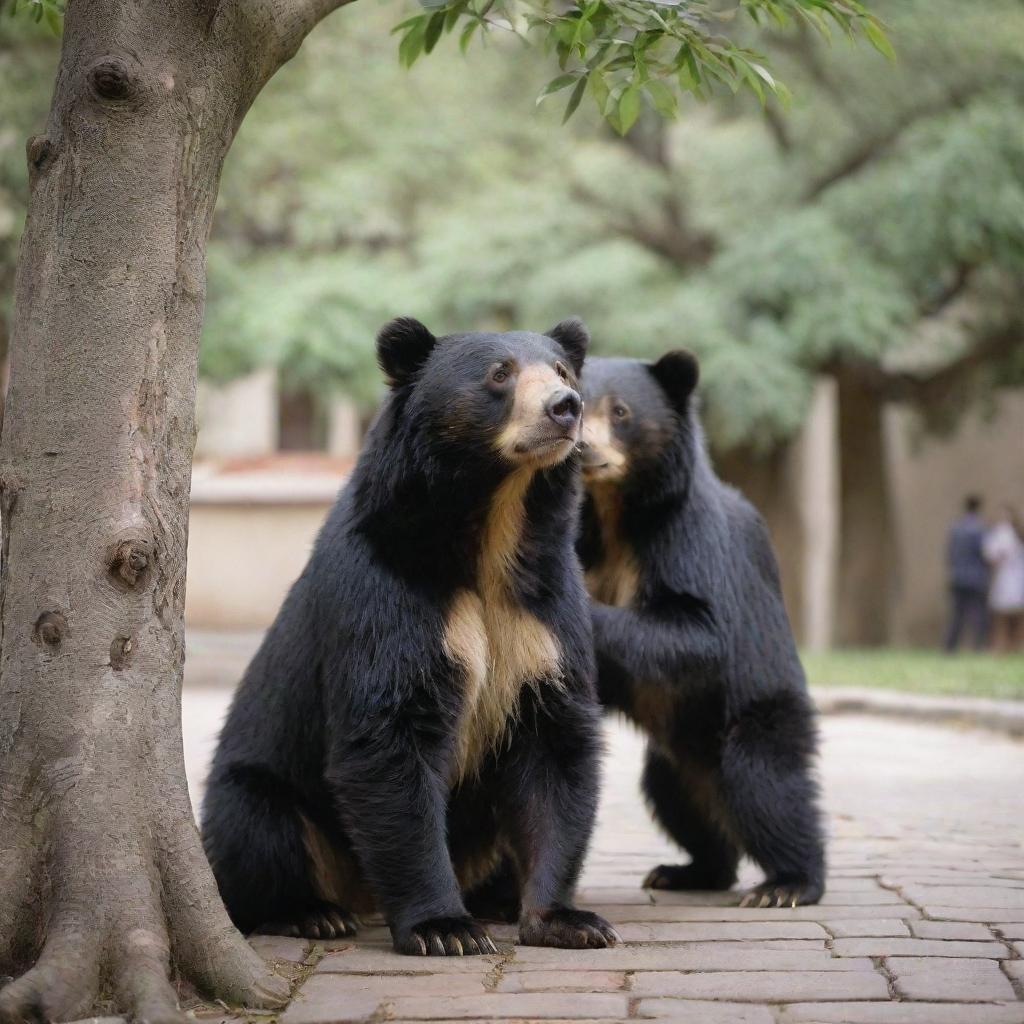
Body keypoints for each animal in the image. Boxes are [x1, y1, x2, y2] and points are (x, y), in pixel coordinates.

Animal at [198, 317, 614, 950]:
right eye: (500, 373)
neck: (495, 527)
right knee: (257, 830)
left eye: (563, 370)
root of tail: (362, 896)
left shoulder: (546, 605)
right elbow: (390, 733)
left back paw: (495, 899)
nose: (566, 407)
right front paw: (443, 928)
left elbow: (556, 742)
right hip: (268, 786)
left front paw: (567, 919)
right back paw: (311, 912)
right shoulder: (388, 584)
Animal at [577, 350, 823, 905]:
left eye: (620, 412)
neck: (611, 512)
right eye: (573, 402)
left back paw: (788, 884)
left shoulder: (687, 537)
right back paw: (686, 870)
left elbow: (698, 634)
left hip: (756, 715)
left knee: (768, 785)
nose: (582, 447)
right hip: (673, 760)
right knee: (677, 803)